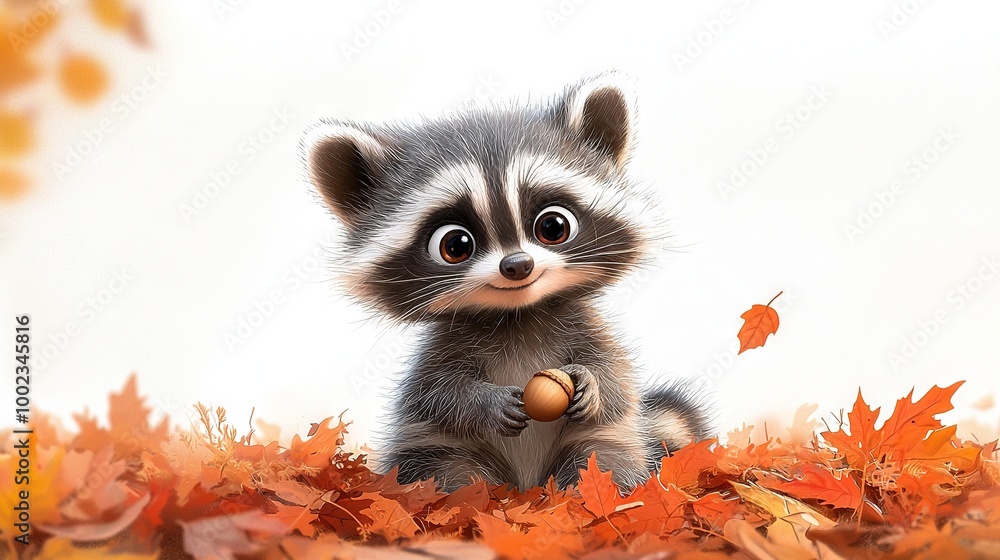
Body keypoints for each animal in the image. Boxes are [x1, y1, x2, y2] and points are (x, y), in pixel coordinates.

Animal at [303, 74, 712, 491]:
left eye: (553, 226)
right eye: (455, 245)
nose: (517, 265)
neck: (518, 313)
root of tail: (527, 487)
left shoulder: (588, 329)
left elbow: (616, 376)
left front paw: (593, 383)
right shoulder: (441, 353)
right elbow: (435, 394)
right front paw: (482, 402)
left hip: (607, 443)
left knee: (604, 461)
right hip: (441, 455)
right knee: (449, 474)